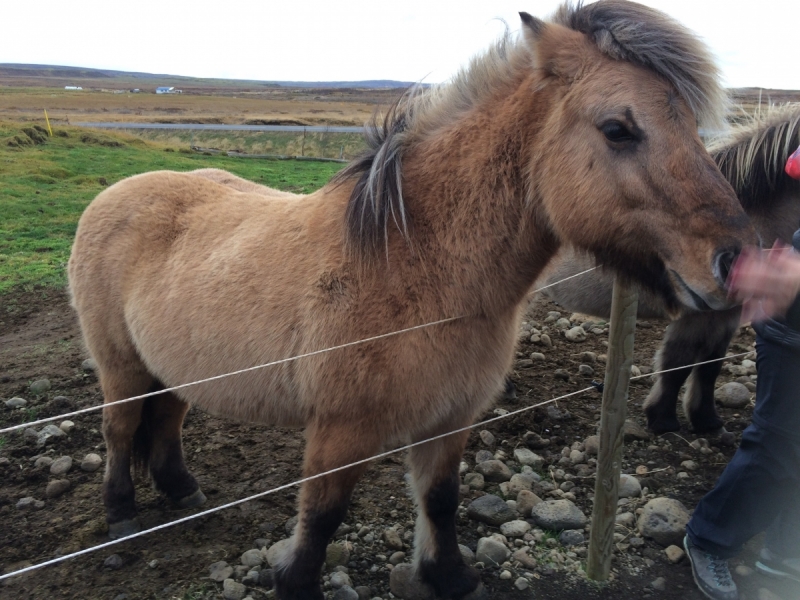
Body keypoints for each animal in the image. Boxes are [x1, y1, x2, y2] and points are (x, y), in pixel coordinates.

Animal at [67, 2, 756, 596]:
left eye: (693, 128)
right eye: (619, 129)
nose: (736, 260)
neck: (418, 269)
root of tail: (114, 194)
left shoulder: (451, 418)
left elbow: (441, 501)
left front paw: (447, 576)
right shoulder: (340, 431)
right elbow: (321, 517)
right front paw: (296, 583)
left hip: (173, 368)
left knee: (165, 420)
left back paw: (181, 491)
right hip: (121, 366)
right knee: (119, 428)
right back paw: (122, 514)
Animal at [536, 105, 800, 436]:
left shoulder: (726, 316)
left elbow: (710, 365)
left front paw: (706, 420)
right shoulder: (698, 315)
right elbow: (678, 363)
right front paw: (663, 419)